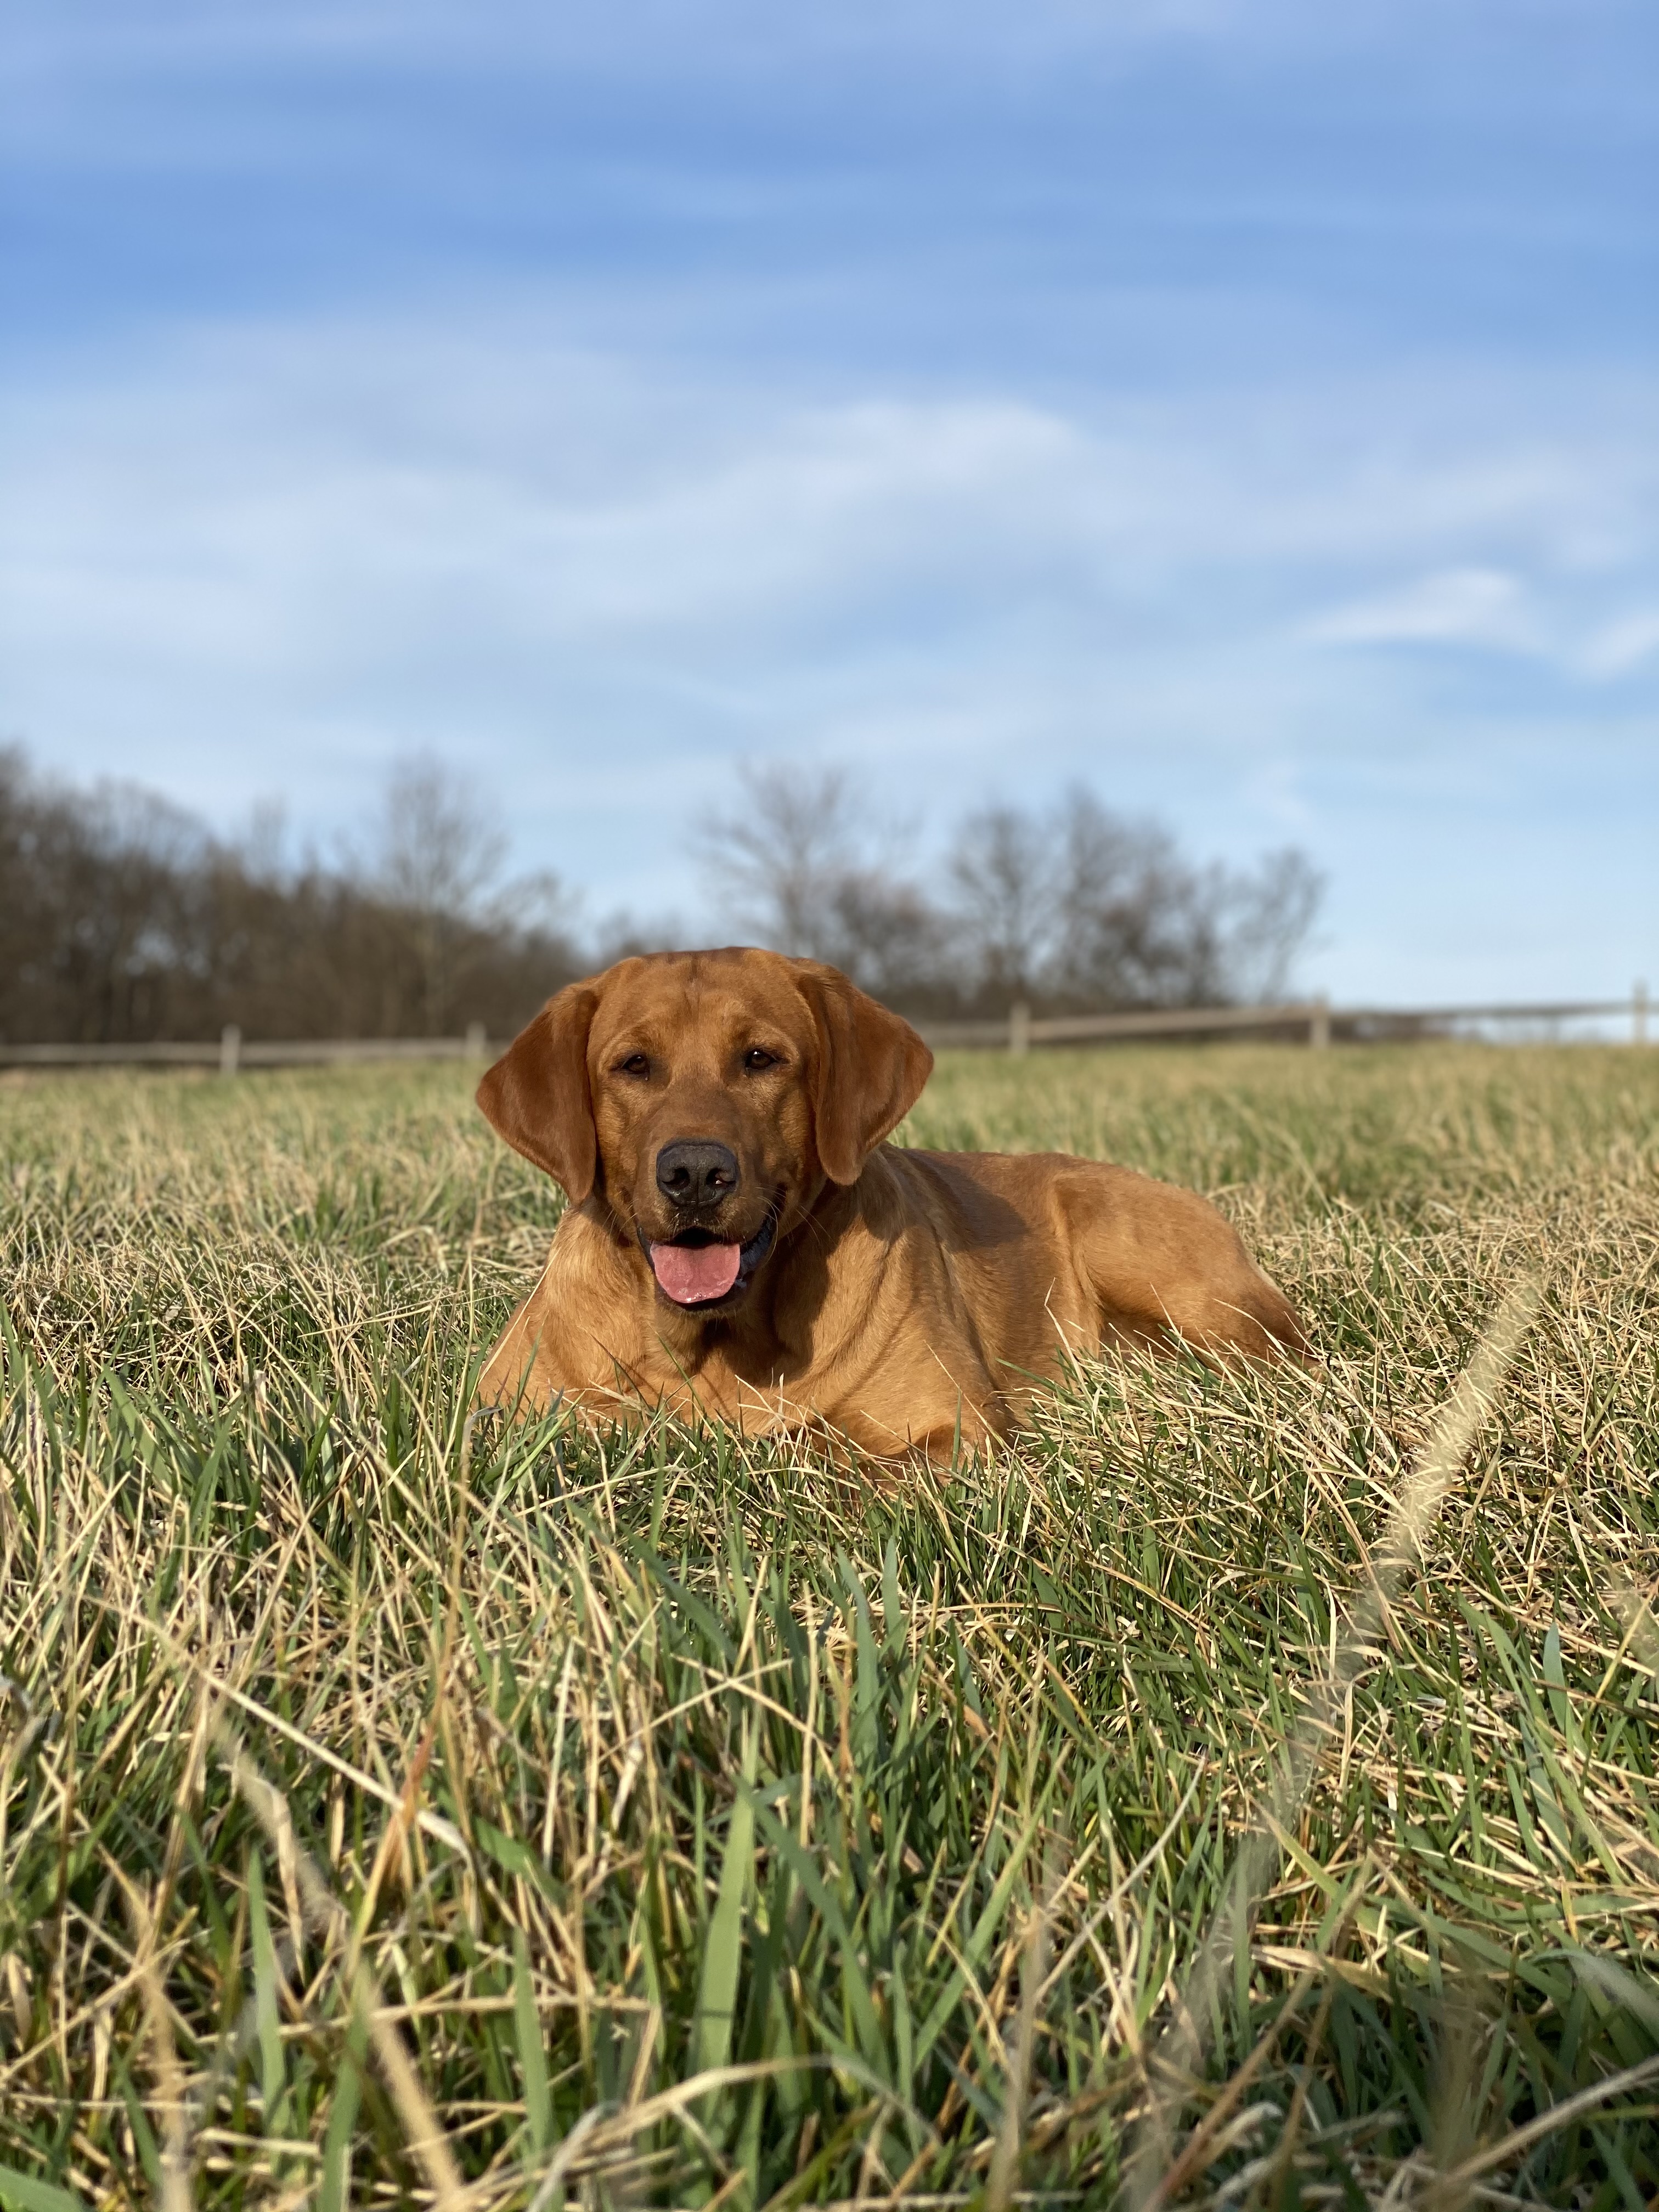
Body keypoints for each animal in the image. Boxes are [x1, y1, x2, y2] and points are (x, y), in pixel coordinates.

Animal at [477, 942, 1309, 1460]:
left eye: (761, 1059)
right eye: (634, 1065)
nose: (695, 1172)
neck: (711, 1344)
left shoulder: (958, 1430)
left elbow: (843, 1458)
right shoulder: (503, 1412)